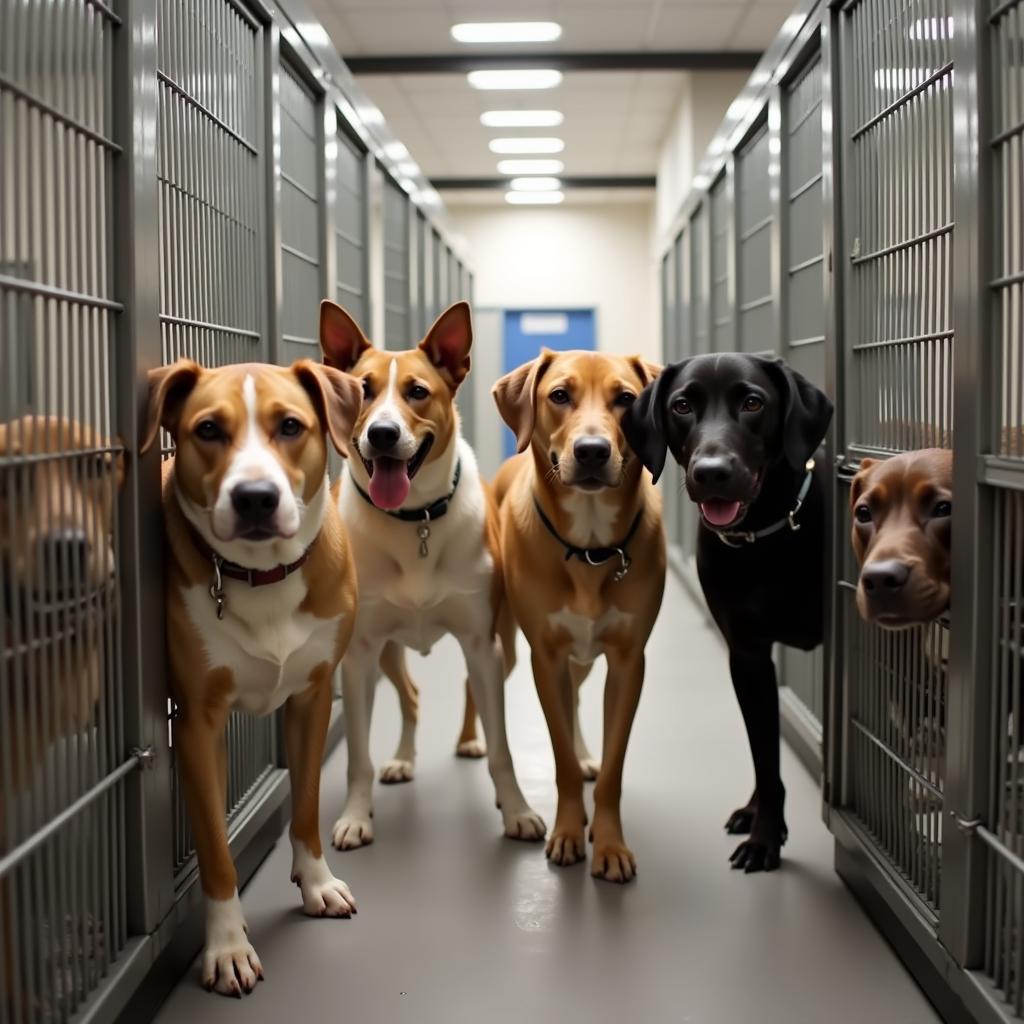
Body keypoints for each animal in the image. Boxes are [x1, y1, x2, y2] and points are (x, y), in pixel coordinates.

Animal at [140, 356, 364, 995]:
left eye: (290, 426)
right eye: (209, 430)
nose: (256, 498)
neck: (261, 577)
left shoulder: (314, 698)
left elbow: (307, 805)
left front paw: (317, 883)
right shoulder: (196, 725)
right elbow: (216, 849)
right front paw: (227, 946)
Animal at [319, 299, 548, 851]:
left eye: (418, 391)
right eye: (363, 389)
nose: (382, 434)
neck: (414, 519)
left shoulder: (482, 644)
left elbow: (503, 750)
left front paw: (517, 811)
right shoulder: (358, 655)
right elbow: (357, 756)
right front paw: (355, 816)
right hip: (385, 651)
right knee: (411, 697)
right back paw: (402, 761)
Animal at [491, 348, 667, 884]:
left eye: (626, 398)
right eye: (559, 395)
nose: (592, 451)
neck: (589, 546)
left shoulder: (629, 662)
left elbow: (612, 767)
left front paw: (609, 842)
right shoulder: (543, 659)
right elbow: (560, 757)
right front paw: (568, 831)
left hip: (586, 660)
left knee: (576, 700)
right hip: (505, 644)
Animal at [622, 354, 831, 872]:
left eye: (753, 402)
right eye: (681, 406)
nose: (711, 471)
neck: (766, 535)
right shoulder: (747, 656)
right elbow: (765, 757)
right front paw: (765, 833)